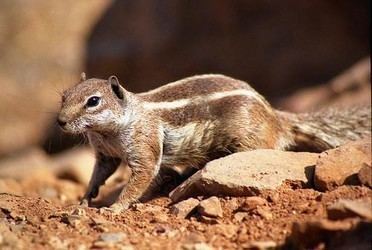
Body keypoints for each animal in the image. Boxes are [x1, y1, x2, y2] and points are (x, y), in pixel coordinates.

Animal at [56, 72, 370, 211]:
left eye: (93, 101)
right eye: (64, 95)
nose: (60, 121)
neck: (108, 131)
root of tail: (275, 116)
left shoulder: (144, 145)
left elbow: (141, 176)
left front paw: (115, 207)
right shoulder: (105, 154)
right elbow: (100, 173)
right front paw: (83, 199)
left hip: (247, 141)